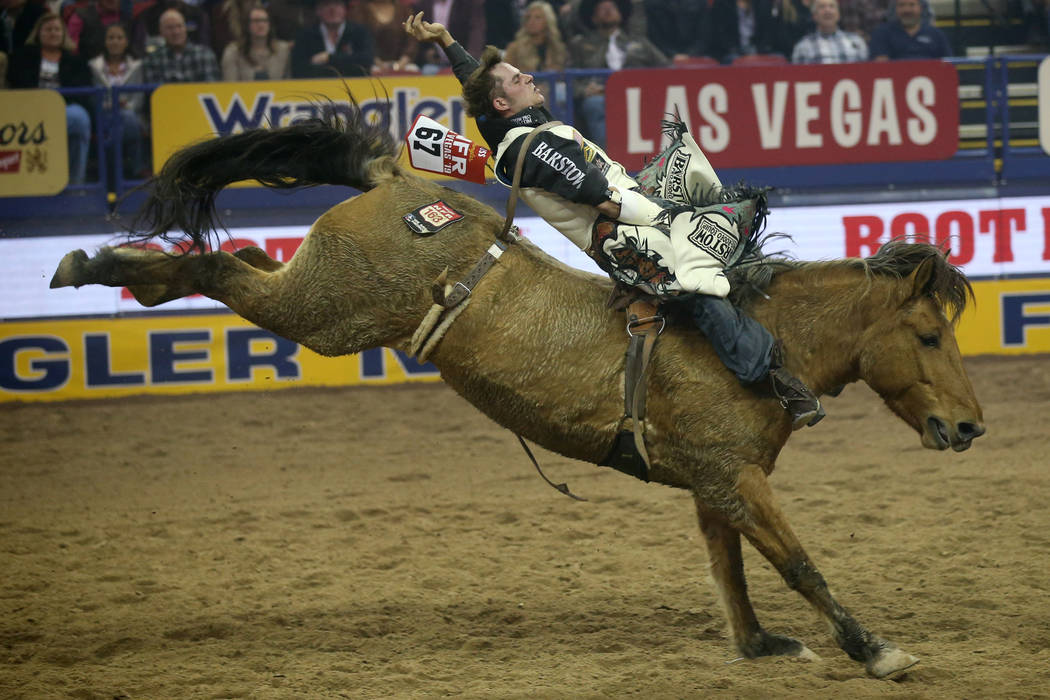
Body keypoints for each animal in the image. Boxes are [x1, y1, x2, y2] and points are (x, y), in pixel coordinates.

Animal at [49, 108, 982, 680]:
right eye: (930, 337)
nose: (971, 426)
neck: (756, 339)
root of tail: (399, 180)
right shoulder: (737, 479)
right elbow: (797, 562)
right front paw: (875, 649)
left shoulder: (715, 484)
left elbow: (734, 573)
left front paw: (760, 646)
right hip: (326, 312)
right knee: (220, 271)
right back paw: (96, 263)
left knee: (230, 262)